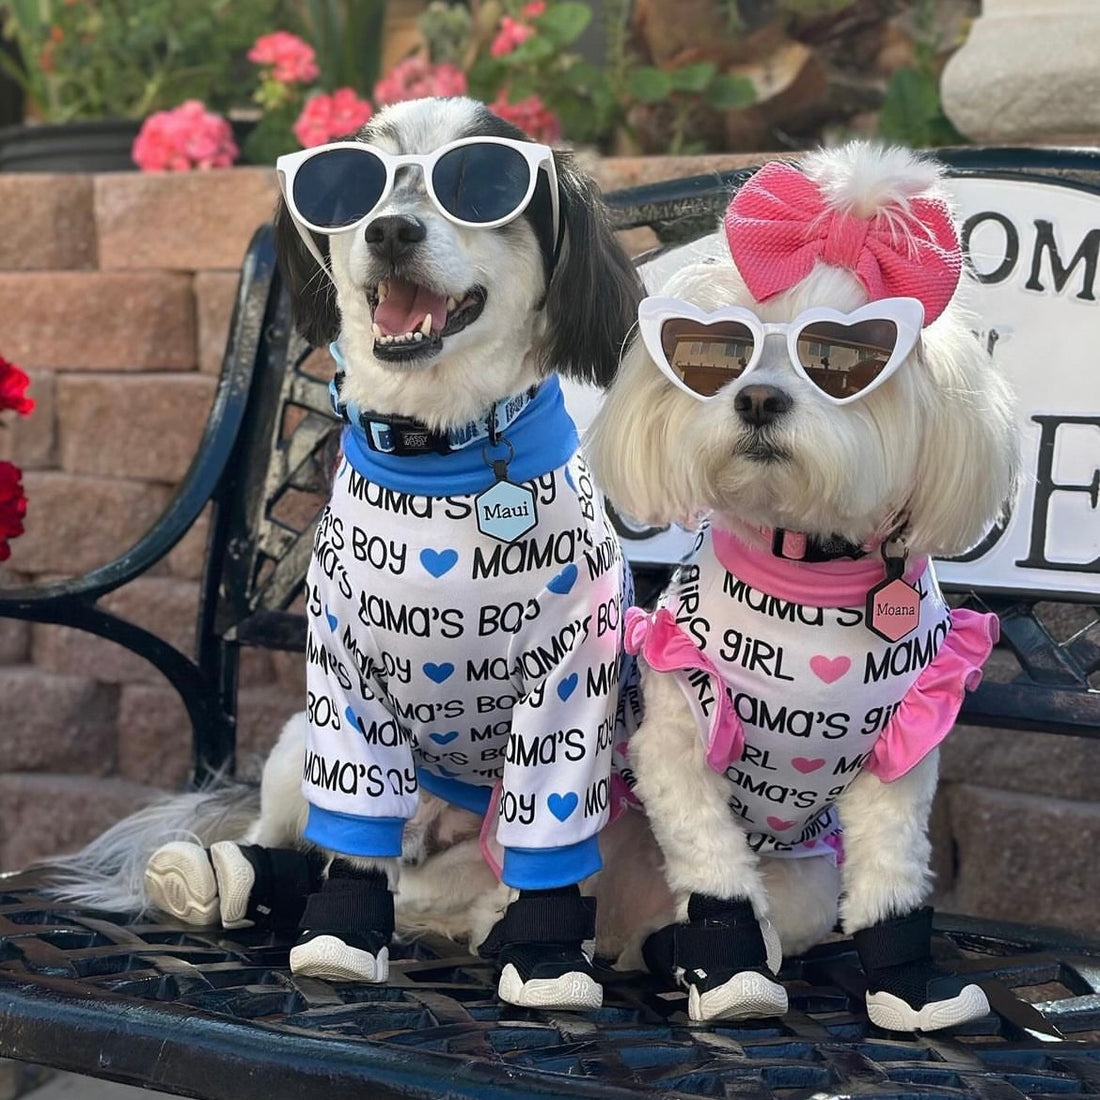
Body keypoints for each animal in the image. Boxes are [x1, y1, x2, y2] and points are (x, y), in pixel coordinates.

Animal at [129, 99, 642, 1007]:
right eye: (350, 187)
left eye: (483, 184)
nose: (392, 229)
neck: (441, 453)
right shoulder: (344, 675)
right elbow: (351, 824)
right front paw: (339, 933)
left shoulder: (569, 682)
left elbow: (548, 833)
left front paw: (550, 955)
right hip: (294, 747)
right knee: (293, 840)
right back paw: (216, 874)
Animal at [589, 141, 1016, 1025]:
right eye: (720, 352)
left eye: (843, 362)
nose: (756, 397)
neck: (806, 571)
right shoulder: (677, 738)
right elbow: (714, 865)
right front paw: (731, 978)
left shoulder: (903, 748)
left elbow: (892, 874)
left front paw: (908, 988)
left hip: (810, 880)